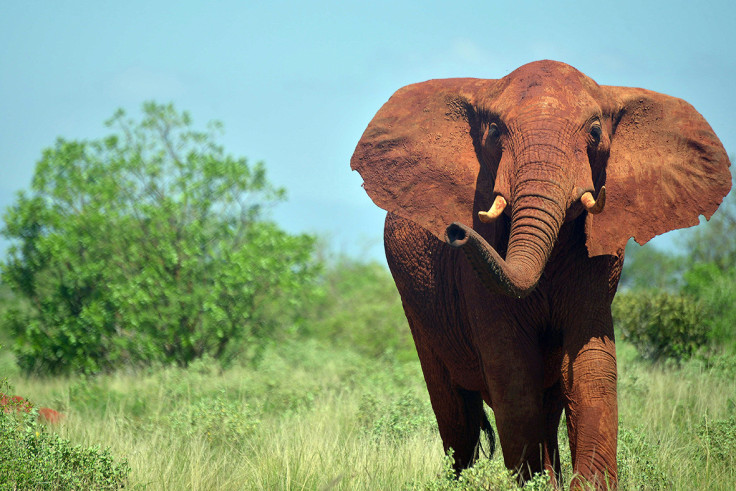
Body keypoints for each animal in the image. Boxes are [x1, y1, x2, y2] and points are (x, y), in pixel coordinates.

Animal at [350, 60, 732, 488]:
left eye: (595, 133)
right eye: (494, 133)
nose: (456, 231)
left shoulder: (601, 259)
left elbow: (591, 368)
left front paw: (586, 485)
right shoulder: (474, 276)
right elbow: (514, 374)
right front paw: (535, 483)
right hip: (419, 311)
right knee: (455, 414)